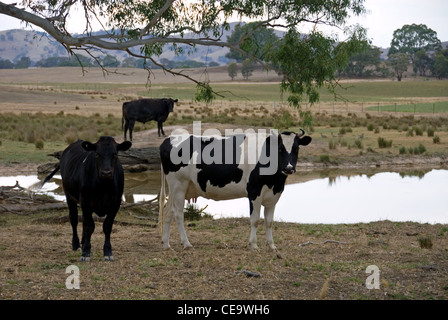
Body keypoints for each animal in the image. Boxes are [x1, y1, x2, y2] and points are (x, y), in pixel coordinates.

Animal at [158, 129, 312, 251]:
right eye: (280, 149)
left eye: (296, 149)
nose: (289, 168)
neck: (275, 181)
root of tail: (170, 139)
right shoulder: (254, 191)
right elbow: (255, 219)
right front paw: (254, 245)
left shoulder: (274, 195)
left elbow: (269, 221)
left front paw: (272, 246)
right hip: (179, 185)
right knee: (178, 214)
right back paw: (186, 243)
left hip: (176, 188)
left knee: (168, 211)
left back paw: (166, 244)